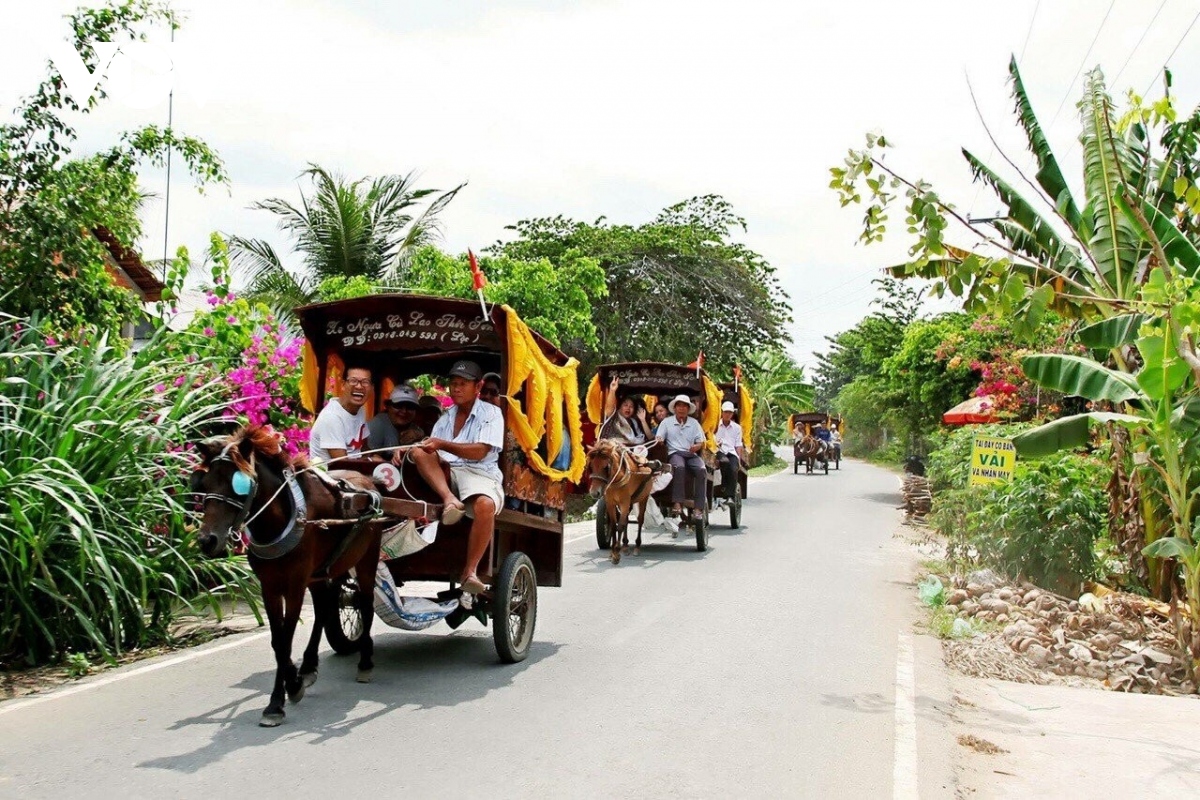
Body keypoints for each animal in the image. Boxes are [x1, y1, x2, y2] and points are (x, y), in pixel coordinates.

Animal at [194, 429, 384, 729]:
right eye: (205, 482)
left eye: (239, 484)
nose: (207, 540)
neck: (280, 519)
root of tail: (368, 480)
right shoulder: (269, 587)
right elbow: (277, 640)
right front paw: (292, 681)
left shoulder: (295, 585)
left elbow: (286, 638)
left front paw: (281, 698)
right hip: (326, 569)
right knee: (326, 607)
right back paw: (308, 666)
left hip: (366, 558)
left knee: (364, 603)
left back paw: (365, 662)